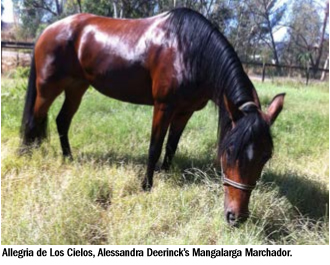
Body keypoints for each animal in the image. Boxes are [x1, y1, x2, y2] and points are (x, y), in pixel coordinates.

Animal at [20, 7, 284, 225]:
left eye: (266, 156)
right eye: (228, 152)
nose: (236, 217)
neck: (189, 50)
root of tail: (48, 31)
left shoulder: (185, 111)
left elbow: (171, 145)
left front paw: (165, 173)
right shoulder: (163, 106)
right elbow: (155, 146)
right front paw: (146, 185)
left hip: (77, 86)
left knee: (62, 120)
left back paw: (68, 158)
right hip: (47, 87)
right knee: (34, 119)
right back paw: (25, 155)